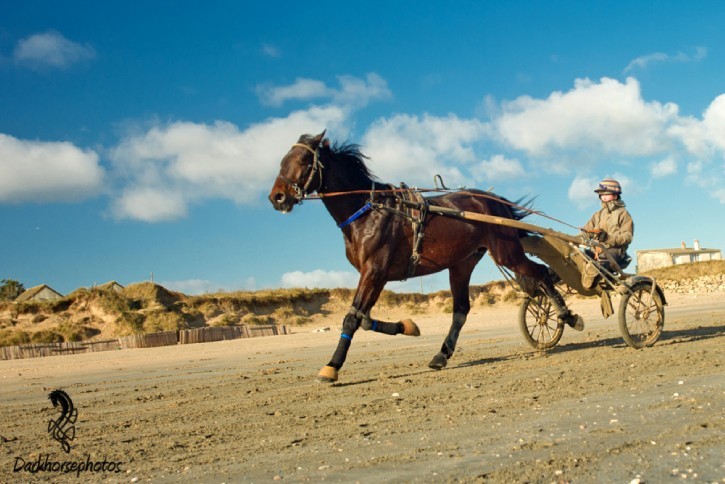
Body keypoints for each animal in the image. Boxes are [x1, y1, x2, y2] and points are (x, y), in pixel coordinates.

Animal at [268, 131, 580, 382]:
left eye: (303, 161)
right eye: (282, 160)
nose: (277, 197)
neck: (368, 211)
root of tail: (494, 202)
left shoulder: (374, 270)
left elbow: (352, 319)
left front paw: (331, 367)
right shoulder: (376, 275)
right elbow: (364, 318)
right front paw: (408, 326)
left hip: (506, 252)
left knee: (541, 274)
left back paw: (567, 315)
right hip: (462, 263)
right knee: (461, 310)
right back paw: (441, 354)